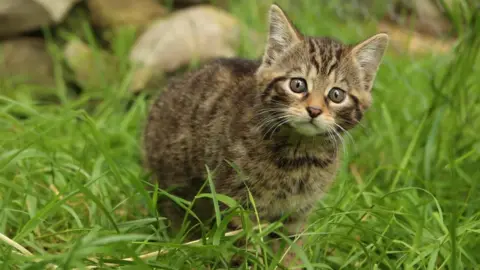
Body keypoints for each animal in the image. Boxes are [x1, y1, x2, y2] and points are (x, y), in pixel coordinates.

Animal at [142, 2, 386, 266]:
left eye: (336, 95)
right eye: (298, 84)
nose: (314, 110)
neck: (300, 156)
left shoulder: (296, 213)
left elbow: (291, 250)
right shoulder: (239, 204)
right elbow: (246, 247)